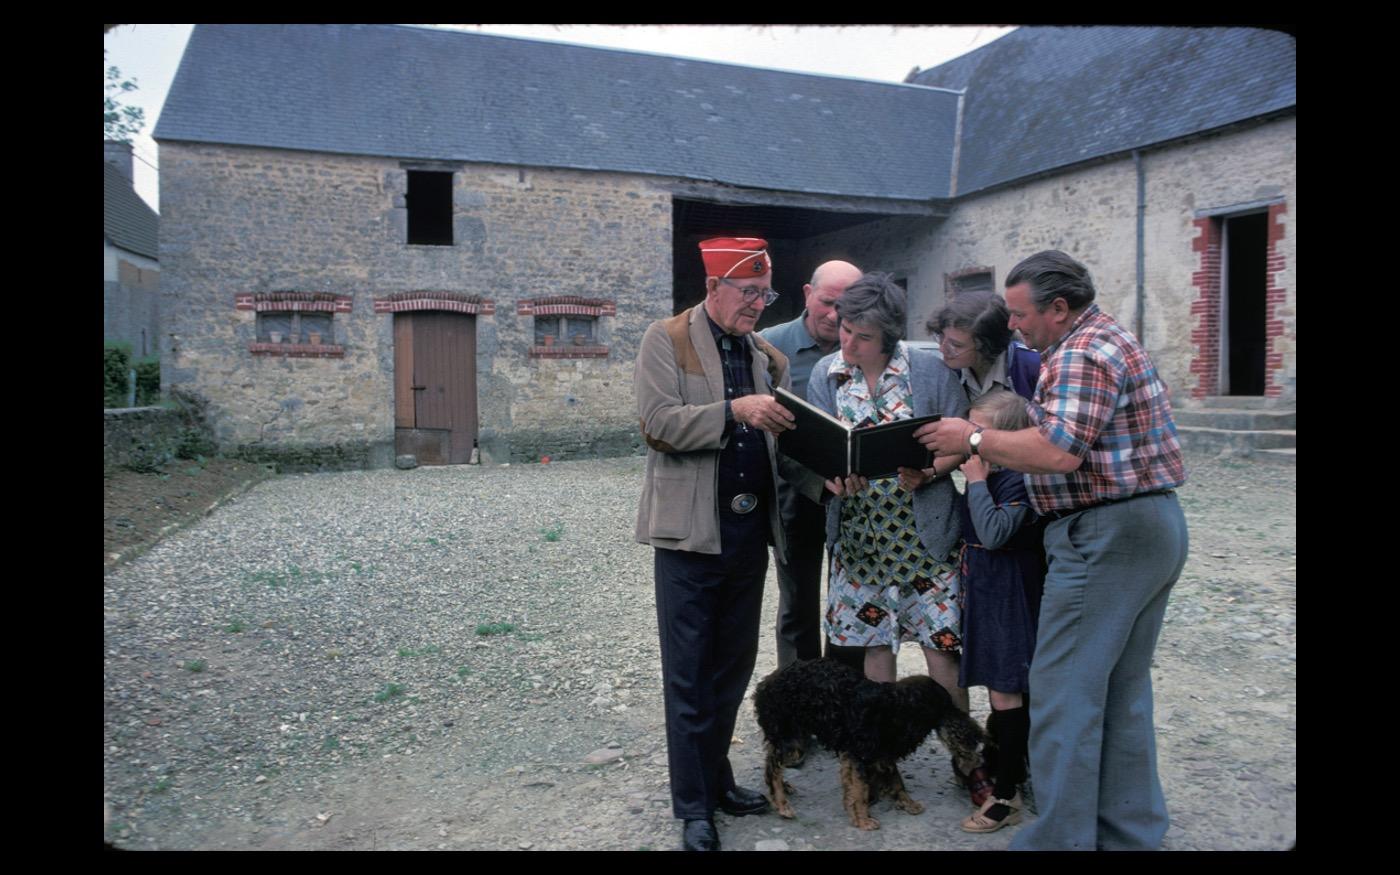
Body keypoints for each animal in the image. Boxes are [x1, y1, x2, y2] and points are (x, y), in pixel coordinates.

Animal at [756, 658, 985, 828]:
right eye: (947, 704)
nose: (976, 734)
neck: (893, 708)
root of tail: (766, 681)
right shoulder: (857, 756)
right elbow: (860, 790)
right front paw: (863, 820)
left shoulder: (881, 752)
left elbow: (897, 781)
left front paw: (908, 804)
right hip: (791, 741)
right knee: (772, 766)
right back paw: (782, 805)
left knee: (771, 759)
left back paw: (785, 788)